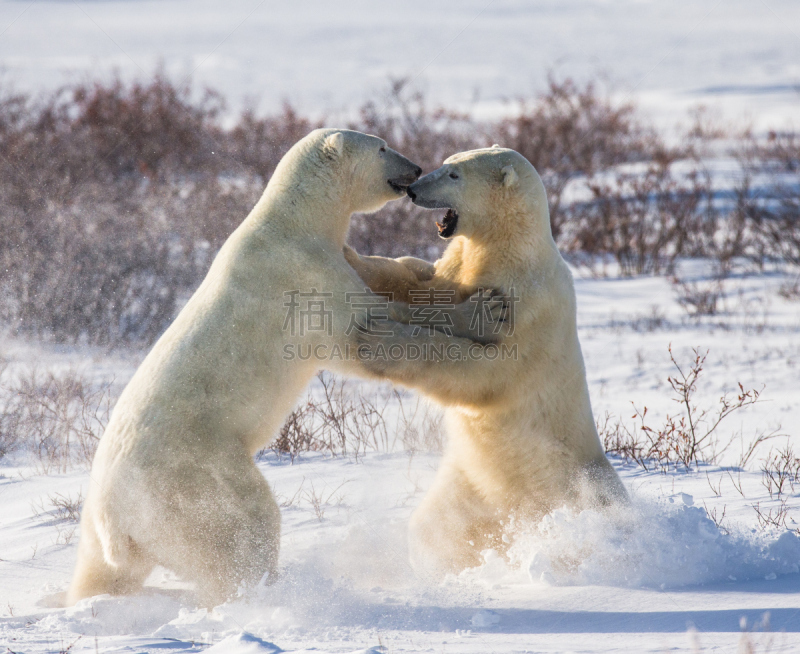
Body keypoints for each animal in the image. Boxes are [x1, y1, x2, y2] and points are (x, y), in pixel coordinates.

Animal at [67, 129, 500, 608]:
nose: (416, 168)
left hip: (103, 522)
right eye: (382, 147)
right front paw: (484, 310)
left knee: (101, 571)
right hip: (192, 477)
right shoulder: (305, 275)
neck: (295, 222)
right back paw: (266, 585)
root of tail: (114, 519)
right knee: (241, 526)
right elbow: (362, 326)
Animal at [346, 146, 628, 576]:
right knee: (437, 528)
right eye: (446, 162)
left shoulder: (525, 307)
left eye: (454, 175)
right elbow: (419, 279)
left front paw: (376, 339)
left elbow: (483, 372)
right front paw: (352, 256)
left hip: (575, 489)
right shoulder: (456, 268)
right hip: (472, 485)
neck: (508, 249)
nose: (413, 189)